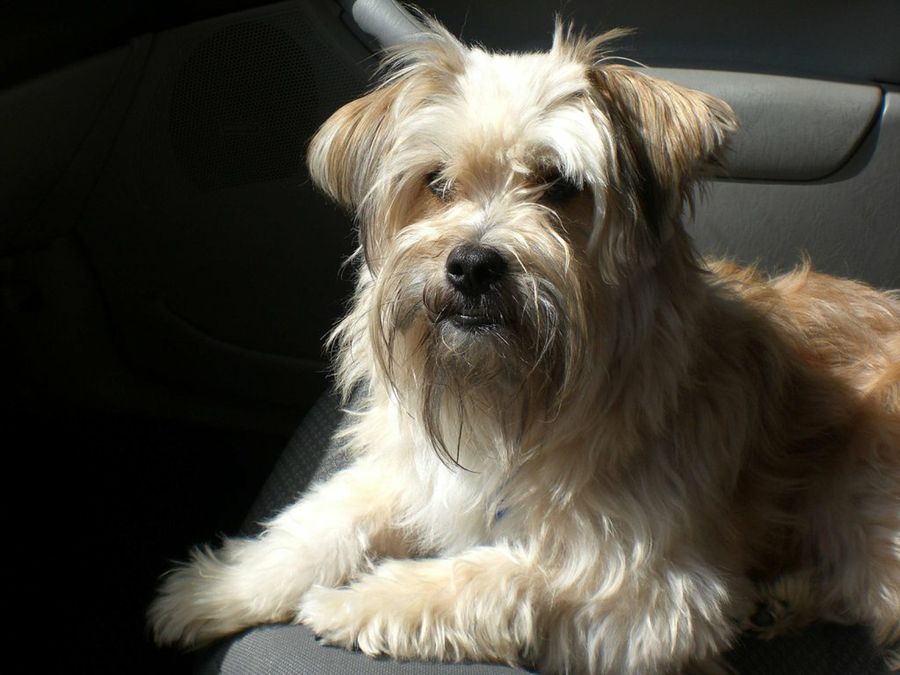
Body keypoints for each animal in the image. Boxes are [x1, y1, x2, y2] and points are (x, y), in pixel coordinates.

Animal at [149, 17, 900, 675]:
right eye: (436, 182)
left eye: (561, 184)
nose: (473, 264)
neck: (515, 393)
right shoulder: (411, 473)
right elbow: (318, 523)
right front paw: (210, 591)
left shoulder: (652, 593)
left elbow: (503, 574)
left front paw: (356, 600)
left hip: (862, 499)